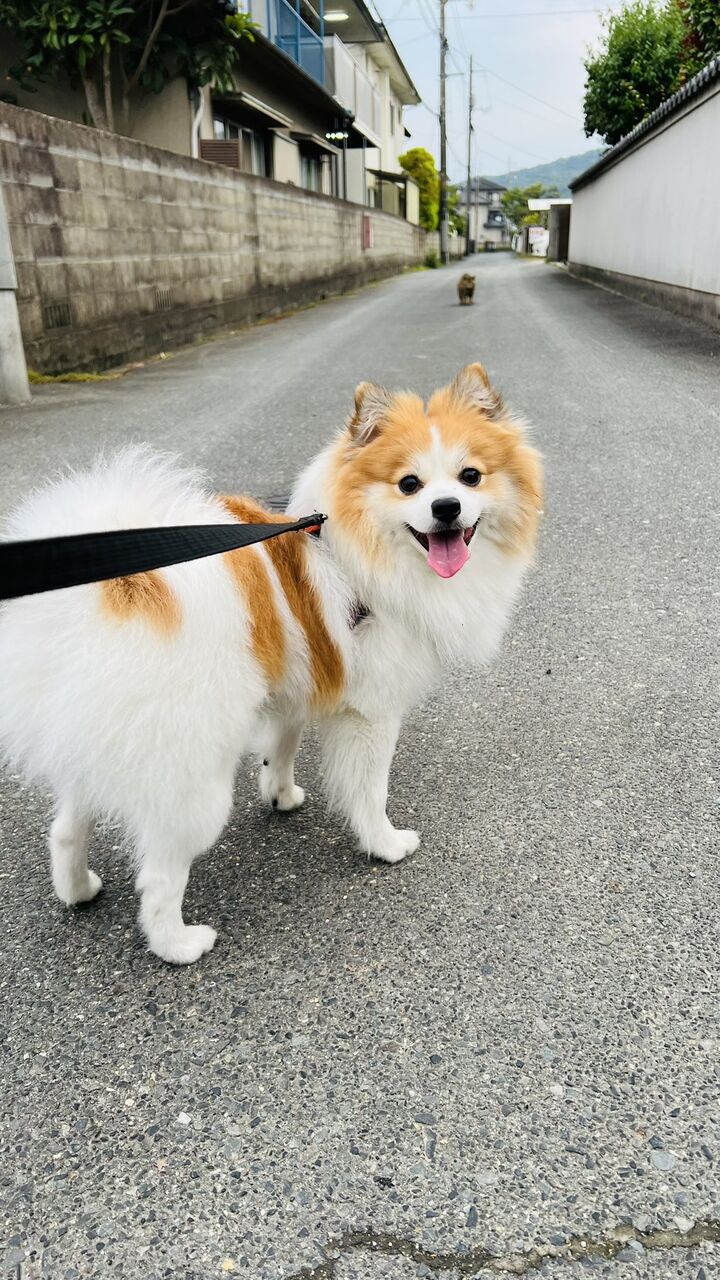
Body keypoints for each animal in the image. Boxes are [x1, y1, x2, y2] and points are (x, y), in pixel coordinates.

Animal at [0, 364, 542, 964]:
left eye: (470, 477)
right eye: (409, 485)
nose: (446, 508)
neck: (358, 547)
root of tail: (115, 594)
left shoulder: (294, 681)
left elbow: (281, 746)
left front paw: (281, 796)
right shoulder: (372, 714)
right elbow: (370, 789)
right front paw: (384, 844)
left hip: (103, 744)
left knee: (67, 828)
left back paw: (78, 889)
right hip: (192, 778)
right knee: (159, 876)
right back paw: (179, 944)